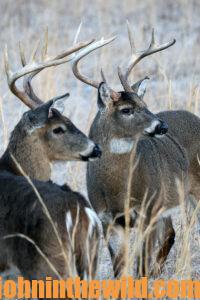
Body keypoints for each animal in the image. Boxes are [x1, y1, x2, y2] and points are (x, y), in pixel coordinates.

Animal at [70, 27, 191, 278]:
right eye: (127, 110)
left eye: (145, 104)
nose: (162, 126)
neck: (119, 190)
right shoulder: (109, 219)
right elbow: (120, 268)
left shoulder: (149, 210)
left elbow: (140, 265)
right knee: (171, 232)